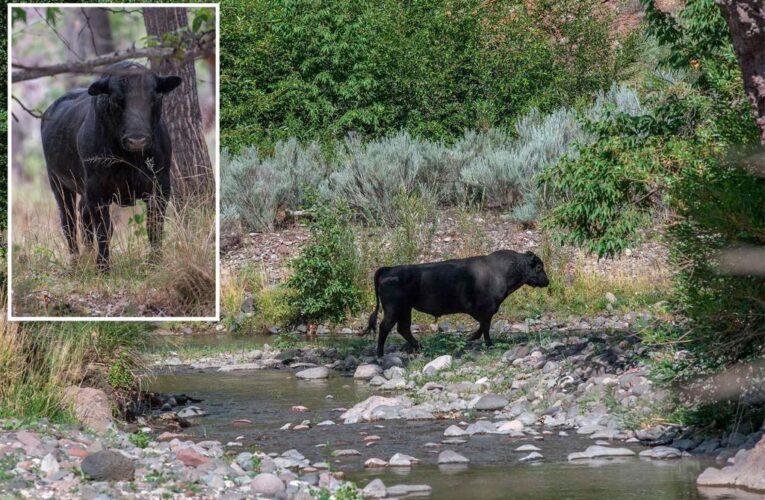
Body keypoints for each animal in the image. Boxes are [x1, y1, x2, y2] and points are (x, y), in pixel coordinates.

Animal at [41, 63, 181, 274]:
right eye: (116, 99)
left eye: (155, 97)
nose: (137, 139)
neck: (130, 158)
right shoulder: (97, 189)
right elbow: (104, 229)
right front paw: (103, 267)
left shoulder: (161, 185)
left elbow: (154, 225)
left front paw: (155, 261)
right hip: (58, 182)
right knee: (69, 221)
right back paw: (76, 260)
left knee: (83, 216)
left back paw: (88, 252)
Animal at [366, 249, 548, 356]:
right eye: (539, 267)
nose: (547, 281)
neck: (501, 270)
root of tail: (389, 269)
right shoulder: (488, 309)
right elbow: (485, 327)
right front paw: (488, 343)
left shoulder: (486, 312)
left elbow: (482, 326)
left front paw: (471, 337)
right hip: (394, 309)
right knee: (385, 327)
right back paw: (380, 353)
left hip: (405, 309)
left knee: (403, 328)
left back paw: (420, 347)